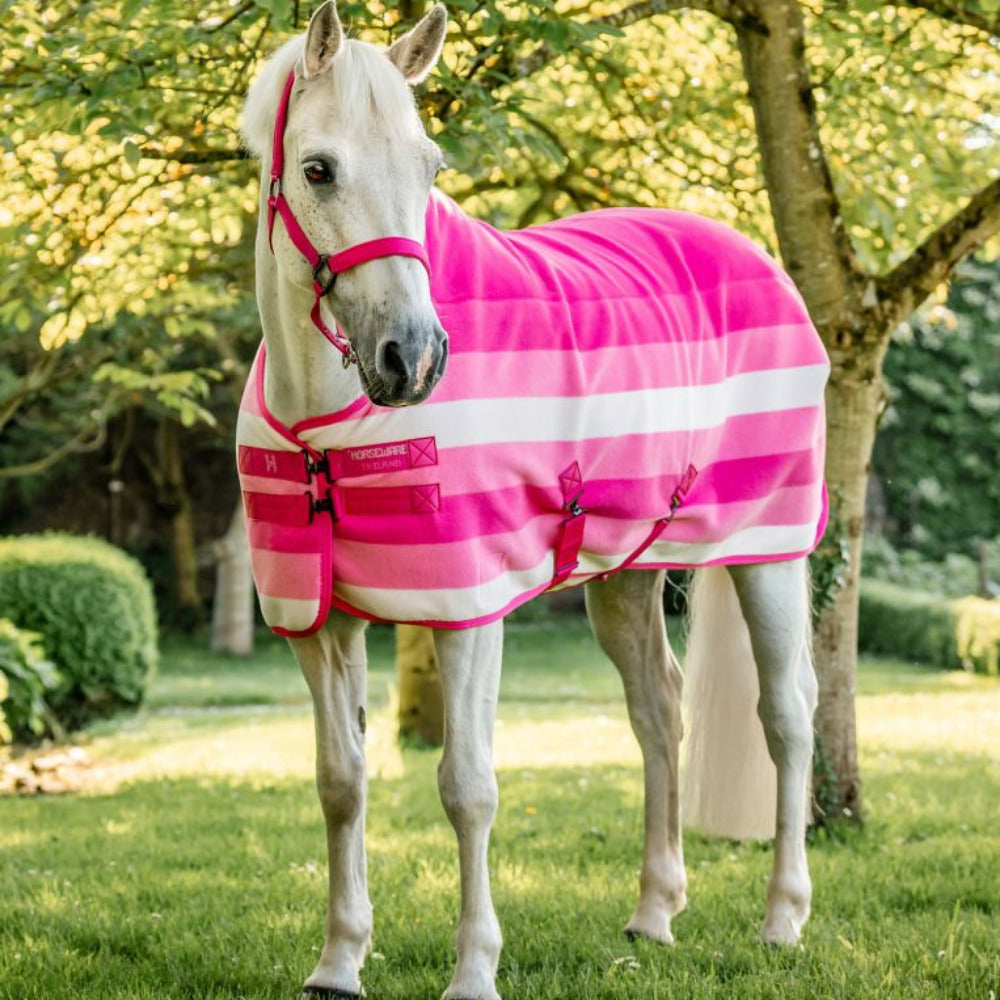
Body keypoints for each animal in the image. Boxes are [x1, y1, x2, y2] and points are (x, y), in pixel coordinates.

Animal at [238, 4, 828, 998]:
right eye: (318, 168)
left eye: (431, 166)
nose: (414, 357)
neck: (329, 428)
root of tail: (755, 253)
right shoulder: (320, 622)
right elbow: (340, 781)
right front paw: (338, 962)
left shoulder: (468, 610)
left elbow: (467, 787)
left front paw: (474, 969)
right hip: (626, 573)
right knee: (659, 712)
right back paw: (653, 914)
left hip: (771, 554)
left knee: (786, 715)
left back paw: (784, 918)